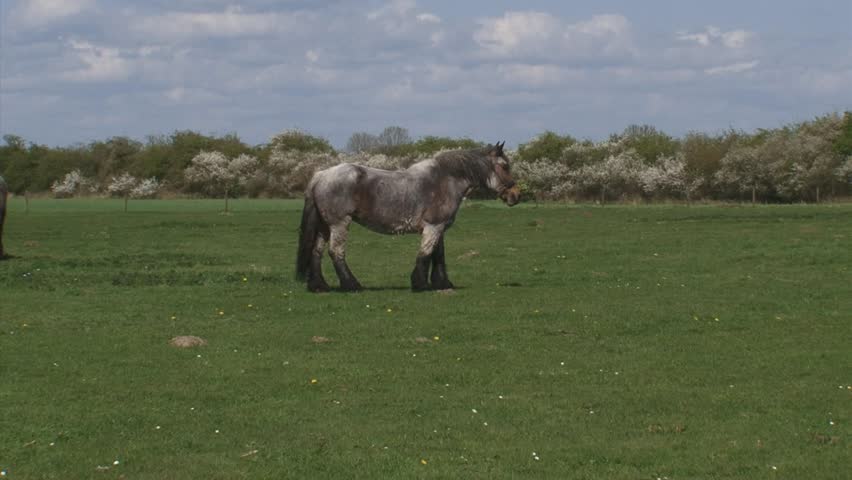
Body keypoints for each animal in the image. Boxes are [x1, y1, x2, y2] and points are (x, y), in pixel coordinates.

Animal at [296, 142, 520, 292]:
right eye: (504, 165)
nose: (516, 195)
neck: (446, 180)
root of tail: (321, 176)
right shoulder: (433, 227)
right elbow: (425, 253)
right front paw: (420, 284)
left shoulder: (439, 228)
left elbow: (438, 256)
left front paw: (442, 283)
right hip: (339, 224)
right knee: (336, 252)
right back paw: (352, 285)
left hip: (324, 226)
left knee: (316, 252)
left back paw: (319, 286)